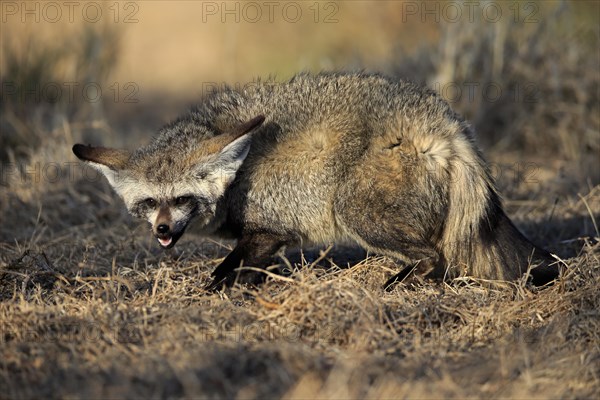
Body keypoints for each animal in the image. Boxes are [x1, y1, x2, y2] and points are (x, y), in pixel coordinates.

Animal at [74, 72, 556, 290]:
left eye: (182, 199)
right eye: (149, 202)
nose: (162, 229)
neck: (236, 178)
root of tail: (444, 123)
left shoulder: (268, 229)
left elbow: (227, 269)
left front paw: (214, 291)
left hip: (356, 212)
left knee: (433, 256)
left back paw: (395, 284)